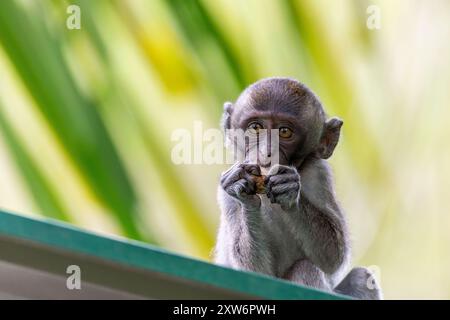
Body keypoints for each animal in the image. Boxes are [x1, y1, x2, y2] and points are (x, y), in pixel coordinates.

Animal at [213, 77, 382, 300]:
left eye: (285, 131)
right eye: (256, 127)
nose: (267, 152)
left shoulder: (319, 173)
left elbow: (333, 257)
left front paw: (289, 191)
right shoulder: (225, 192)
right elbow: (255, 275)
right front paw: (243, 193)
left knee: (356, 277)